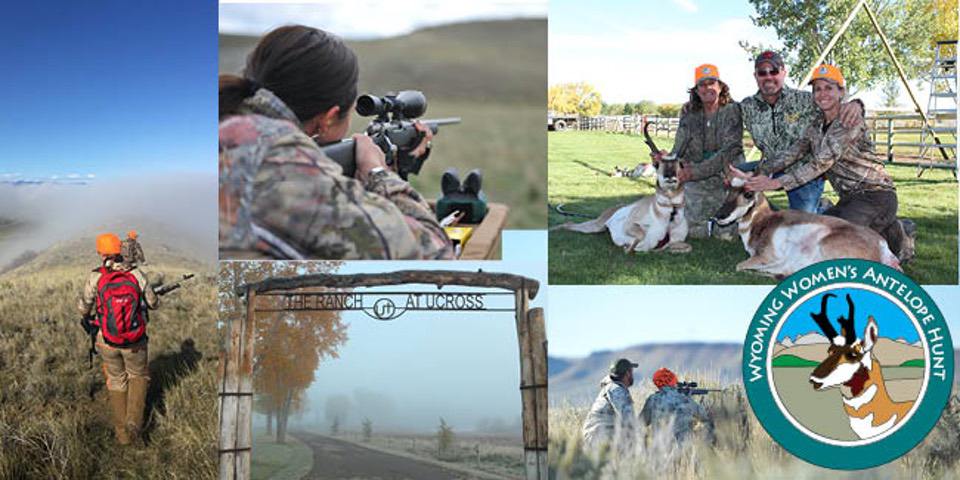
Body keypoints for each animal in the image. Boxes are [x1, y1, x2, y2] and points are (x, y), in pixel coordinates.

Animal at [548, 157, 688, 255]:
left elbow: (685, 247)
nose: (670, 177)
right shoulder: (631, 224)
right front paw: (628, 247)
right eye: (659, 164)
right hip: (595, 225)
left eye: (678, 165)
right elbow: (641, 236)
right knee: (568, 224)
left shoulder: (676, 241)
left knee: (569, 223)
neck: (669, 217)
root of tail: (613, 208)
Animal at [708, 177, 904, 278]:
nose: (719, 216)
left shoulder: (765, 256)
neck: (764, 222)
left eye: (748, 193)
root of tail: (882, 246)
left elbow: (739, 265)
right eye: (728, 191)